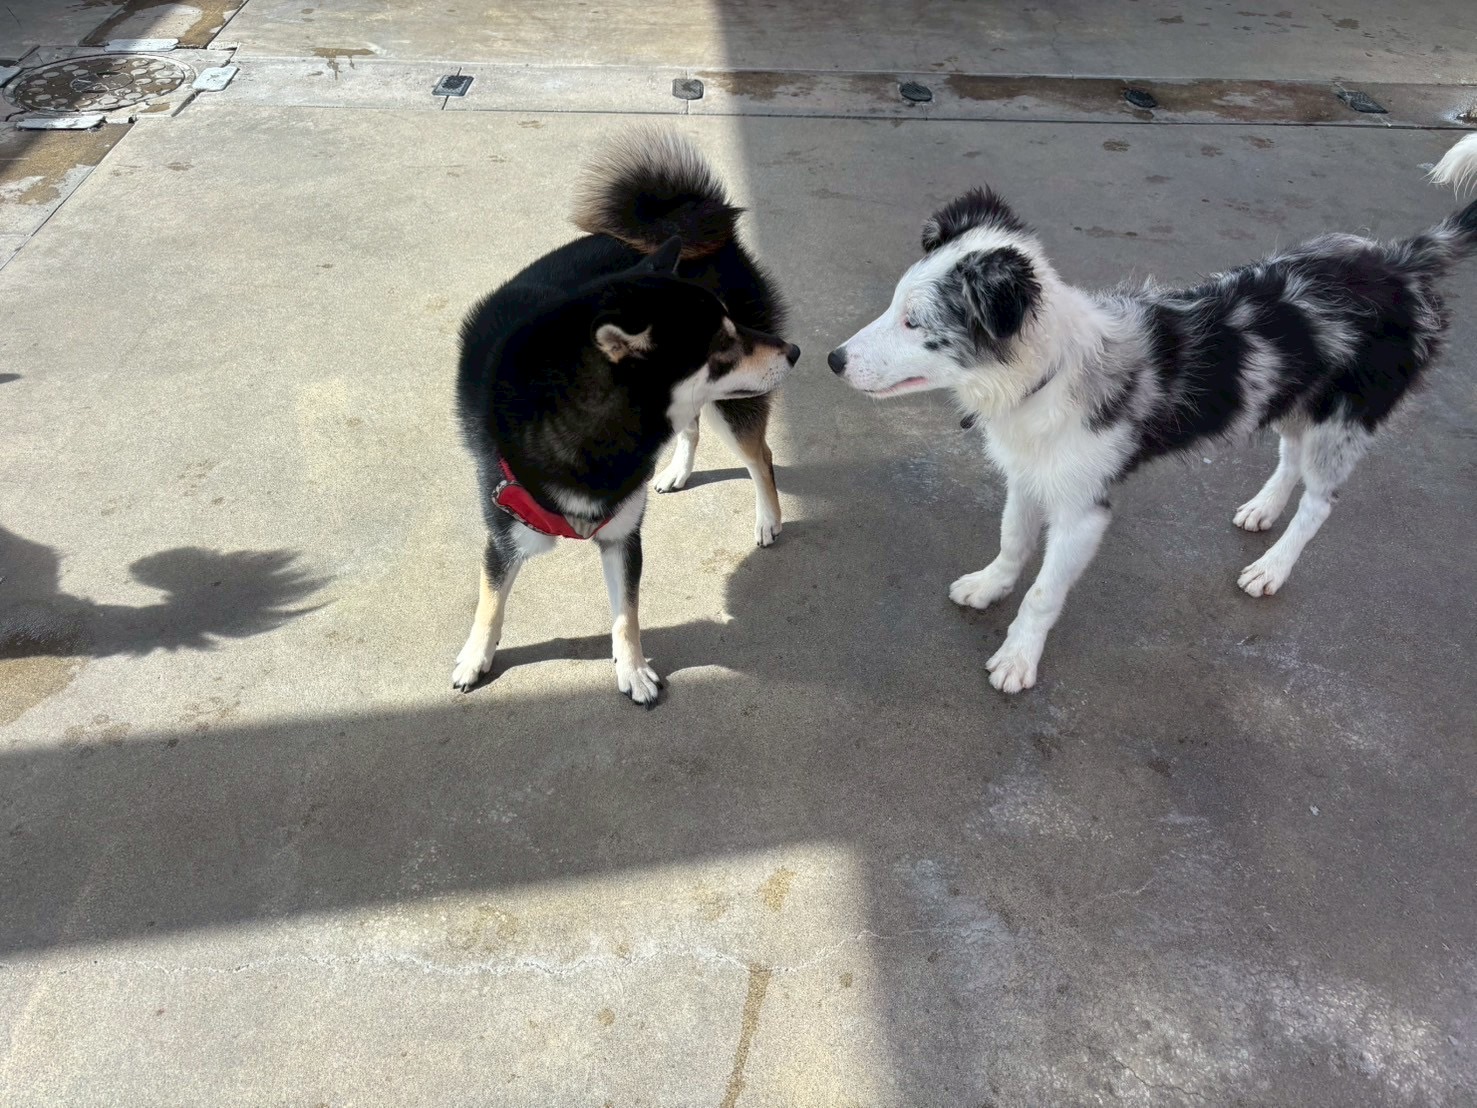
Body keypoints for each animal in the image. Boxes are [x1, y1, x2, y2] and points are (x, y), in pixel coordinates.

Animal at [451, 129, 799, 705]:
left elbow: (626, 615)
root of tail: (703, 223)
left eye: (732, 330)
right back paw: (678, 470)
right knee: (694, 427)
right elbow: (491, 600)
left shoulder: (622, 537)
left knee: (761, 457)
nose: (793, 352)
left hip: (732, 406)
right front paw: (475, 657)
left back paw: (767, 517)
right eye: (721, 346)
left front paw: (632, 669)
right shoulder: (505, 528)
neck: (595, 442)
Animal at [828, 133, 1477, 693]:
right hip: (1296, 399)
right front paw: (990, 586)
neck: (1048, 376)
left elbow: (1043, 593)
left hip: (1342, 420)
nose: (834, 360)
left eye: (914, 322)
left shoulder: (1082, 510)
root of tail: (1400, 260)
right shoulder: (1029, 474)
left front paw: (1017, 658)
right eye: (895, 307)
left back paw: (1272, 567)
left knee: (1320, 501)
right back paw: (1263, 511)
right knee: (1290, 458)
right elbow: (1012, 540)